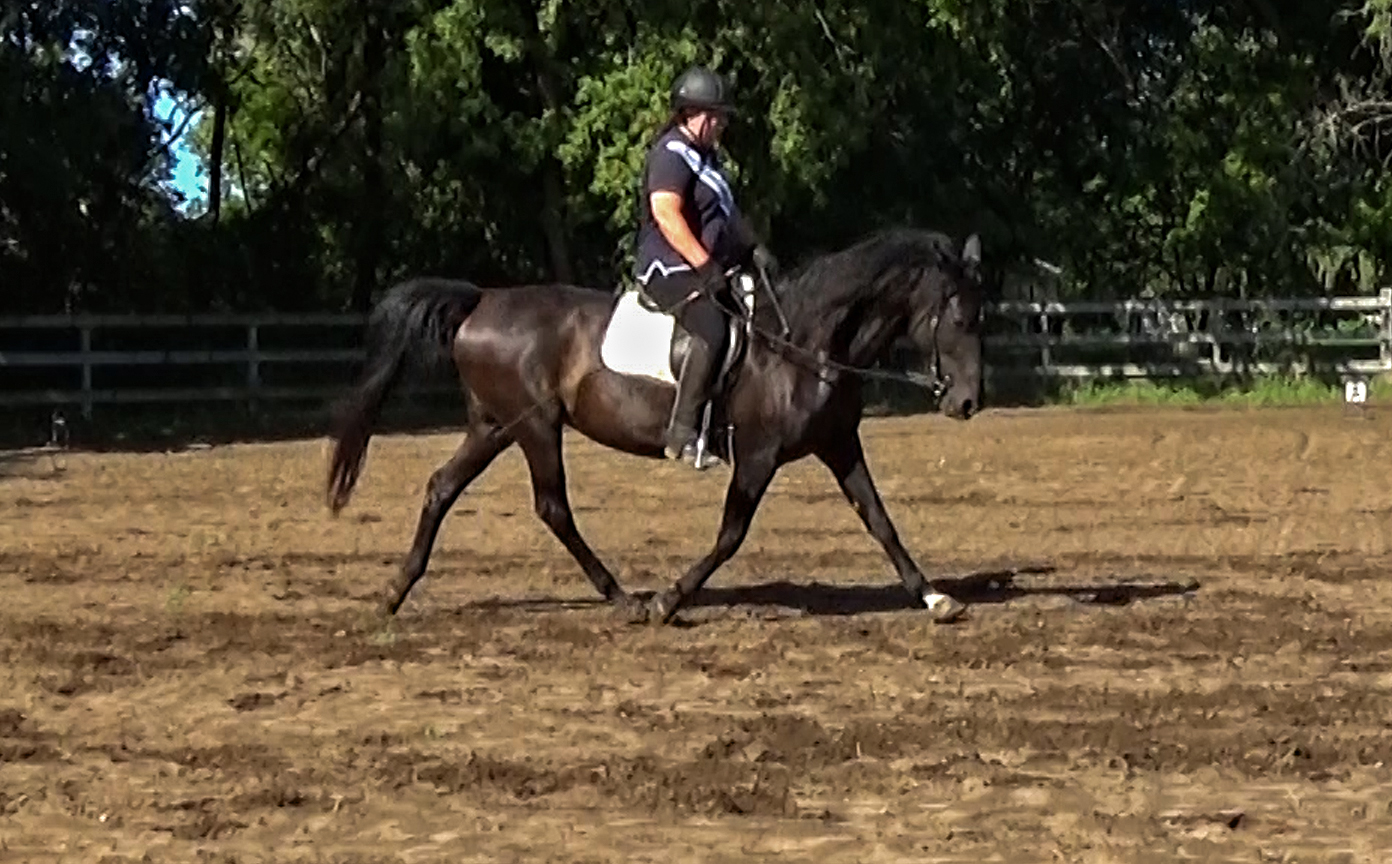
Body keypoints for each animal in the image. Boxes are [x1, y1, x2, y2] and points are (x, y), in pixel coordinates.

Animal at [325, 226, 986, 626]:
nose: (969, 402)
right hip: (536, 426)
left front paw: (935, 597)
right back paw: (624, 598)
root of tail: (481, 299)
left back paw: (396, 591)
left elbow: (880, 520)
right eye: (957, 316)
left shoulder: (839, 444)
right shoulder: (758, 456)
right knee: (552, 506)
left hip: (495, 426)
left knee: (442, 486)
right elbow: (731, 534)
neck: (805, 343)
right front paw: (669, 600)